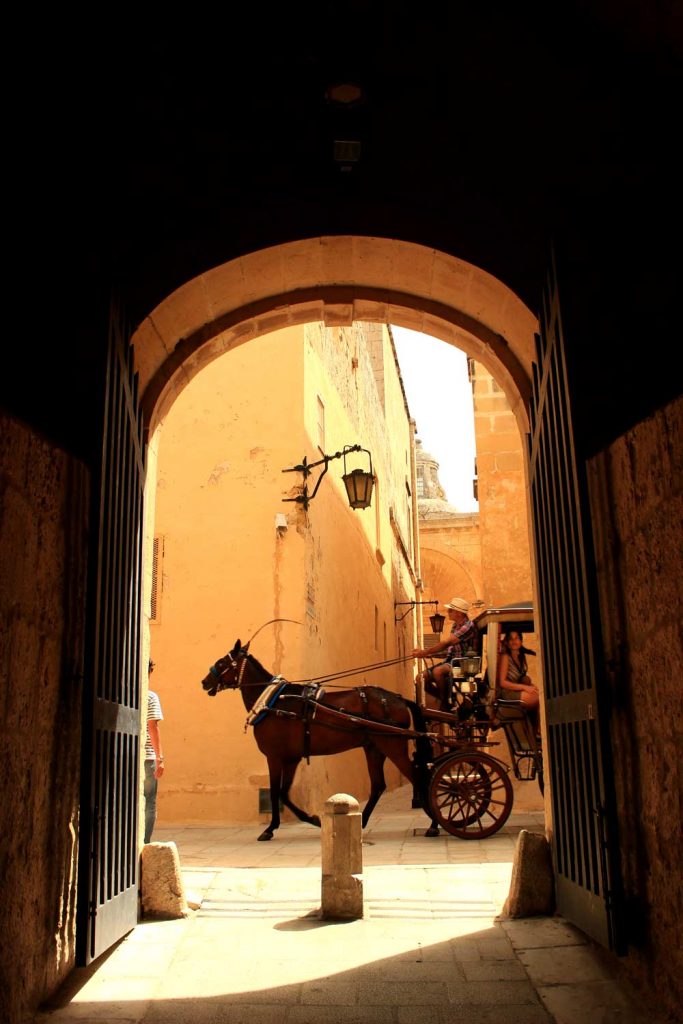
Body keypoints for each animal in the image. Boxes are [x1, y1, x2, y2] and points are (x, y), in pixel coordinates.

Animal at [200, 638, 432, 839]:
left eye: (222, 662)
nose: (204, 681)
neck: (273, 702)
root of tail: (399, 699)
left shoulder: (274, 757)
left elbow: (275, 792)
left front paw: (271, 828)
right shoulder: (291, 758)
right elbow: (284, 793)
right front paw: (313, 819)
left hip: (393, 746)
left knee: (417, 777)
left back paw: (433, 823)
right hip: (374, 748)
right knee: (378, 785)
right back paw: (363, 821)